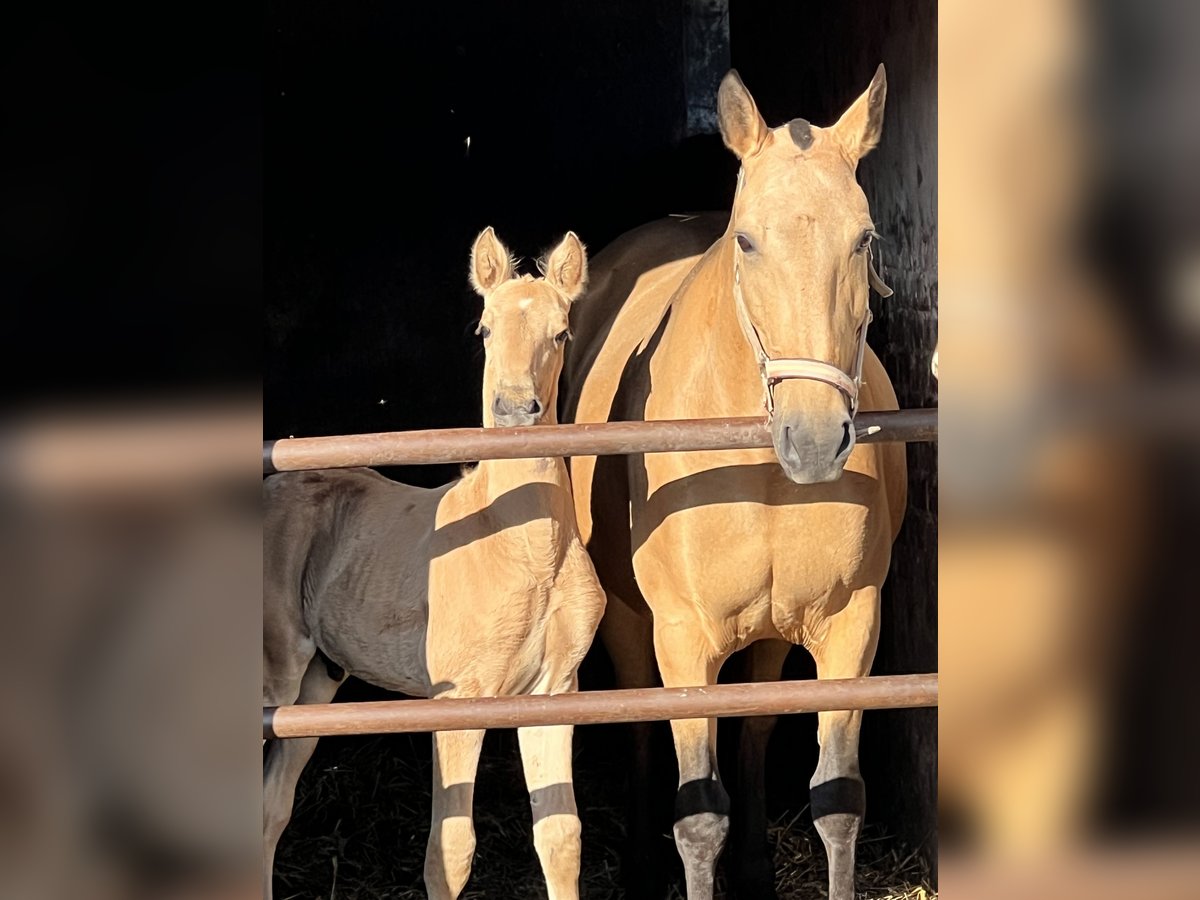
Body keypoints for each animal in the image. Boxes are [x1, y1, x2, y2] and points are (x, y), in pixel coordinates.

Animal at [260, 229, 600, 897]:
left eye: (562, 332)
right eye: (485, 328)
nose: (515, 407)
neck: (525, 550)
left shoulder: (553, 693)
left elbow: (561, 838)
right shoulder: (458, 701)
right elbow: (451, 851)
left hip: (314, 689)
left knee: (271, 809)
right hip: (274, 675)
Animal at [561, 66, 907, 897]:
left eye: (864, 238)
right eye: (747, 240)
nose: (813, 440)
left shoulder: (851, 627)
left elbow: (837, 798)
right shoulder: (685, 637)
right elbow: (697, 815)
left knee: (754, 727)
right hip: (631, 621)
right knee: (641, 722)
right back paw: (640, 867)